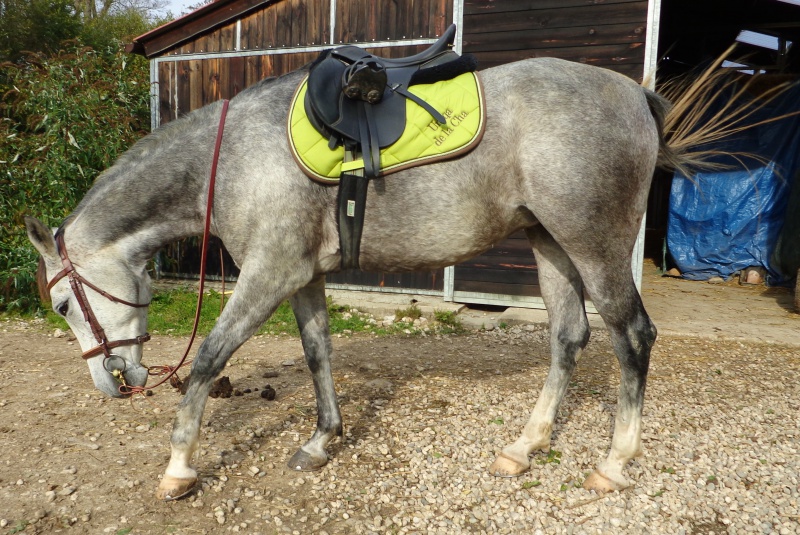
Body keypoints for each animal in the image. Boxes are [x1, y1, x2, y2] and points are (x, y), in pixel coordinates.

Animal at [25, 58, 704, 502]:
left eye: (61, 305)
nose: (111, 383)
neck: (237, 158)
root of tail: (635, 94)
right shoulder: (301, 276)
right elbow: (318, 352)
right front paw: (322, 440)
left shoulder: (268, 273)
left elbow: (210, 359)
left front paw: (179, 466)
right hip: (551, 245)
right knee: (567, 337)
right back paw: (523, 447)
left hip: (594, 245)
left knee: (633, 335)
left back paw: (614, 463)